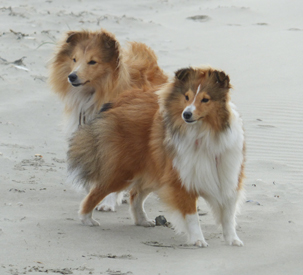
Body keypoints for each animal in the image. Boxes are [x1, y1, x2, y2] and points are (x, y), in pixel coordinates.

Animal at [67, 67, 247, 248]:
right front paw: (198, 240)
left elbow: (228, 215)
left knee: (135, 194)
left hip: (153, 171)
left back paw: (142, 220)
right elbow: (192, 216)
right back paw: (86, 219)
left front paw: (233, 240)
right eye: (186, 97)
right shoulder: (182, 179)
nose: (187, 114)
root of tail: (118, 100)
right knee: (96, 192)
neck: (205, 133)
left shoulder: (228, 176)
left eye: (205, 99)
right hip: (122, 171)